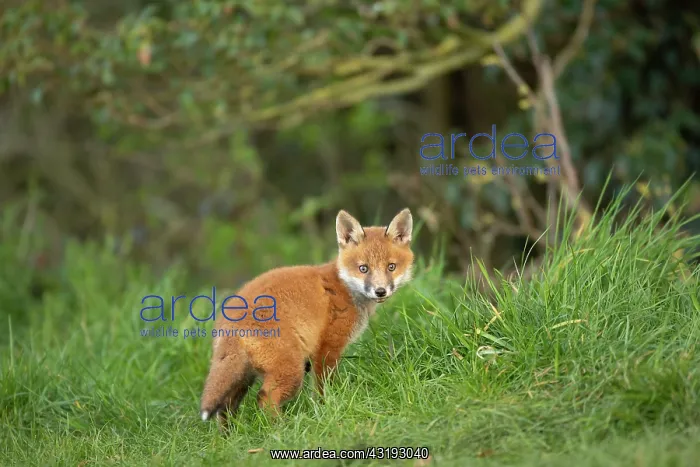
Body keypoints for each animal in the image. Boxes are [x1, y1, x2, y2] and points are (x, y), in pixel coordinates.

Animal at [199, 208, 415, 425]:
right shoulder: (327, 347)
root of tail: (230, 320)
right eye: (364, 268)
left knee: (225, 408)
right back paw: (281, 428)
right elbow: (323, 389)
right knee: (265, 398)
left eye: (391, 267)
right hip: (291, 370)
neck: (345, 287)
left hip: (244, 376)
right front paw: (328, 410)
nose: (380, 291)